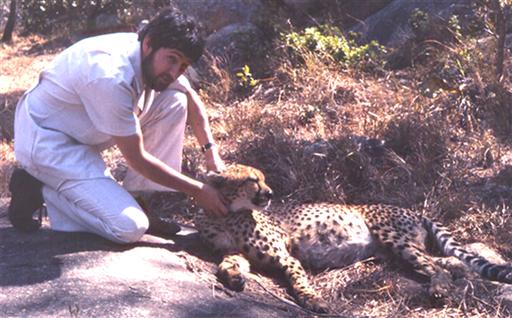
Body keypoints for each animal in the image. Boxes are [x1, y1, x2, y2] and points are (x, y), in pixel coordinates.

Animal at [195, 165, 512, 314]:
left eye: (261, 179)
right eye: (252, 180)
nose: (271, 193)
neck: (225, 214)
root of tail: (412, 210)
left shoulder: (286, 255)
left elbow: (298, 280)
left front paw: (314, 301)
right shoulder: (239, 251)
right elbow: (229, 260)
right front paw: (232, 274)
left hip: (394, 238)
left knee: (436, 265)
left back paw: (439, 288)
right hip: (395, 250)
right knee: (447, 261)